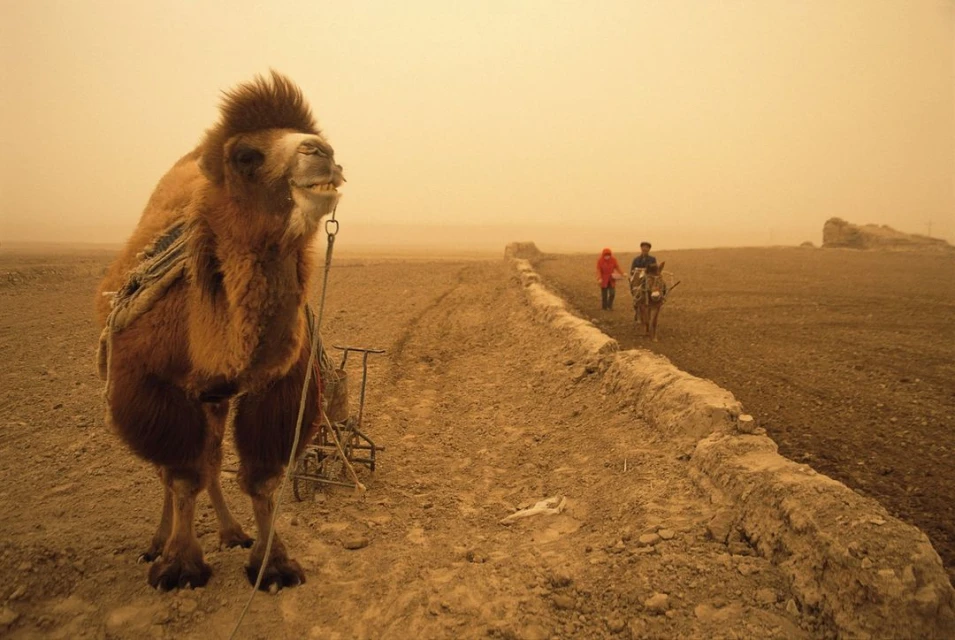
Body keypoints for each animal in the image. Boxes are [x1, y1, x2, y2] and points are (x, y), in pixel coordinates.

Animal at [94, 71, 343, 591]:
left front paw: (273, 564)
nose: (321, 151)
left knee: (209, 457)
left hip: (215, 399)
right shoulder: (151, 387)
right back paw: (157, 543)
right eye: (246, 156)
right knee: (175, 469)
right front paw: (179, 566)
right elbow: (180, 476)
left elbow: (262, 478)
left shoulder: (278, 386)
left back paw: (232, 533)